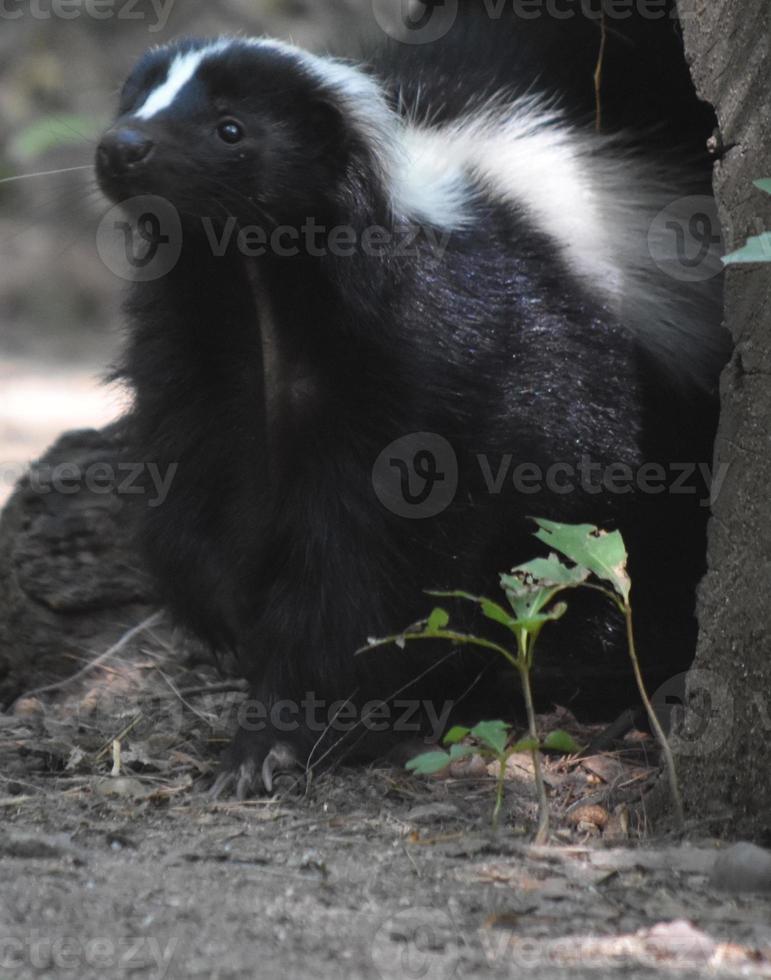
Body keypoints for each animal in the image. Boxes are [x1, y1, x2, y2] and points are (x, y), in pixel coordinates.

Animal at [95, 13, 724, 796]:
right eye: (135, 102)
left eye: (230, 129)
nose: (121, 146)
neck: (261, 294)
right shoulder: (197, 361)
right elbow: (193, 509)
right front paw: (238, 626)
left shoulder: (443, 370)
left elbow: (368, 569)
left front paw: (277, 733)